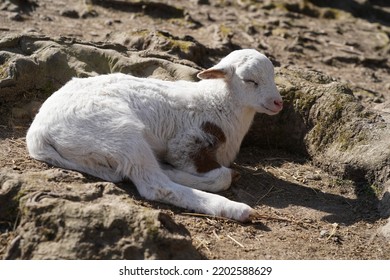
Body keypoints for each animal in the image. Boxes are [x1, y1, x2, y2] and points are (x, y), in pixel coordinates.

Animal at [25, 49, 282, 222]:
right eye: (250, 80)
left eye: (273, 76)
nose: (278, 103)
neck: (217, 102)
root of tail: (38, 132)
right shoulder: (185, 145)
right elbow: (219, 176)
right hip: (119, 131)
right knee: (155, 185)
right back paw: (235, 209)